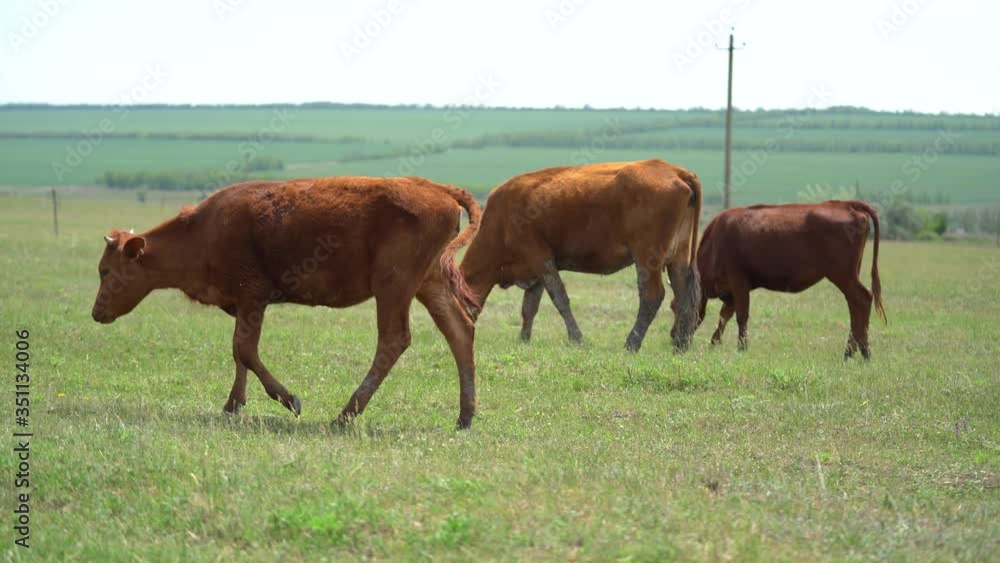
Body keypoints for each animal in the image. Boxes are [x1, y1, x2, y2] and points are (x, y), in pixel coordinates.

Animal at [91, 176, 483, 428]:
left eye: (106, 271)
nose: (96, 313)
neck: (202, 232)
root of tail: (436, 188)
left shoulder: (253, 297)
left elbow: (245, 350)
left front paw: (289, 399)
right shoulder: (243, 305)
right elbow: (239, 354)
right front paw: (233, 404)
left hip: (393, 287)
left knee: (393, 340)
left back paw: (346, 413)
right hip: (428, 284)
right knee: (459, 331)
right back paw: (465, 416)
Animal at [459, 159, 703, 352]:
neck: (501, 223)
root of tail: (674, 170)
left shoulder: (541, 259)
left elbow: (559, 299)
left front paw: (576, 338)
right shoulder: (534, 272)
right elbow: (529, 307)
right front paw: (524, 339)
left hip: (646, 257)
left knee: (652, 296)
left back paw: (632, 343)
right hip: (678, 258)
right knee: (682, 296)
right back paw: (681, 345)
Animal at [695, 200, 886, 359]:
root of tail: (846, 204)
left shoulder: (739, 282)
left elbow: (741, 316)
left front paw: (741, 348)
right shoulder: (730, 293)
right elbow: (724, 316)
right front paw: (714, 343)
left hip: (842, 274)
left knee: (862, 299)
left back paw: (860, 352)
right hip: (850, 274)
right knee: (855, 305)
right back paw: (854, 352)